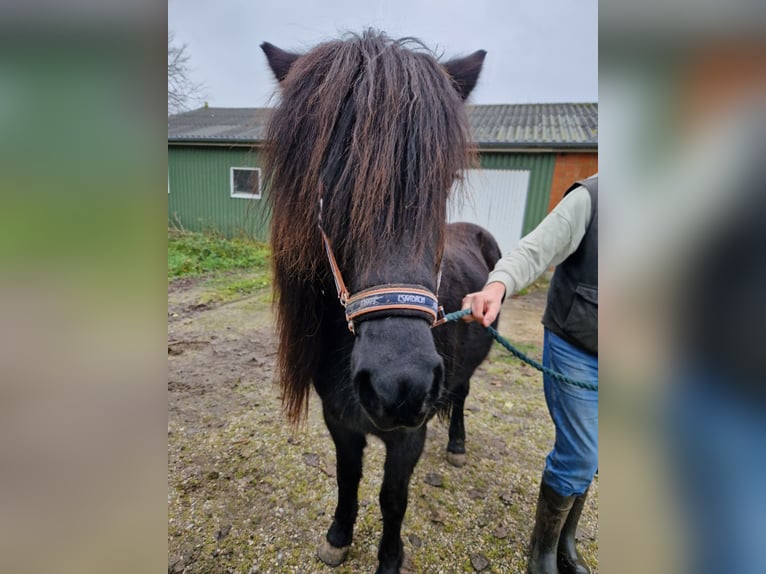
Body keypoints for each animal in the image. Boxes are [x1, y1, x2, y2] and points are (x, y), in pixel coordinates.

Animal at [261, 31, 499, 574]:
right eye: (326, 183)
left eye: (445, 182)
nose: (401, 386)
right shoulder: (339, 421)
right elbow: (347, 478)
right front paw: (338, 536)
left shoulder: (408, 436)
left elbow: (393, 498)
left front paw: (389, 559)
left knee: (461, 396)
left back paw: (456, 444)